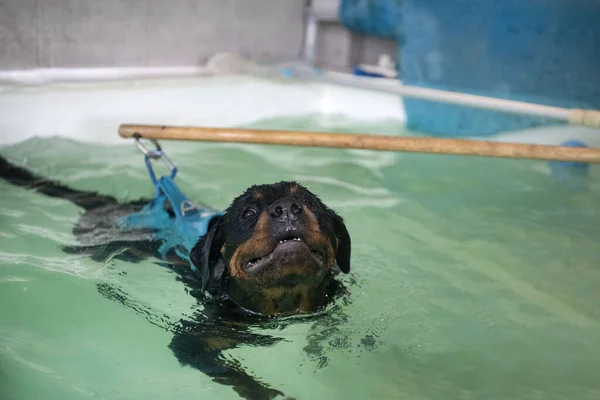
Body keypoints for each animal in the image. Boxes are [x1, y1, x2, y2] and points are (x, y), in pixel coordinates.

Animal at [0, 154, 352, 400]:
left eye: (310, 203)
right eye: (248, 213)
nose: (287, 208)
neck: (280, 305)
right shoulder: (193, 340)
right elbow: (235, 374)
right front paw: (267, 392)